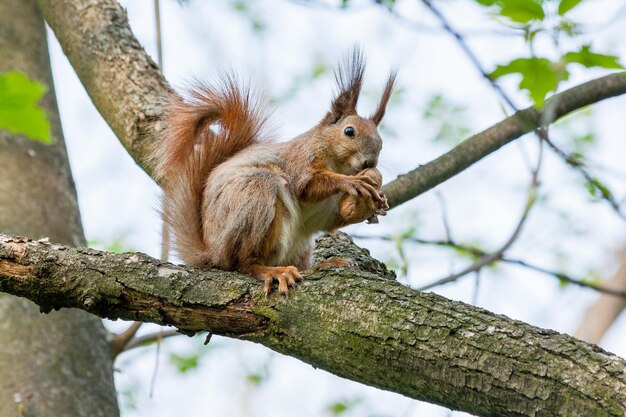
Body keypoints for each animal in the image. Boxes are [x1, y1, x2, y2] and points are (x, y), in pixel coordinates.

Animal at [151, 50, 392, 294]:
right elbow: (308, 186)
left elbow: (334, 218)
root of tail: (212, 252)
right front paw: (352, 182)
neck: (337, 163)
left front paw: (374, 205)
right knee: (242, 264)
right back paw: (271, 271)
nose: (369, 162)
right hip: (255, 197)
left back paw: (324, 265)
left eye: (381, 142)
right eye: (349, 131)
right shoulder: (299, 161)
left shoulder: (328, 208)